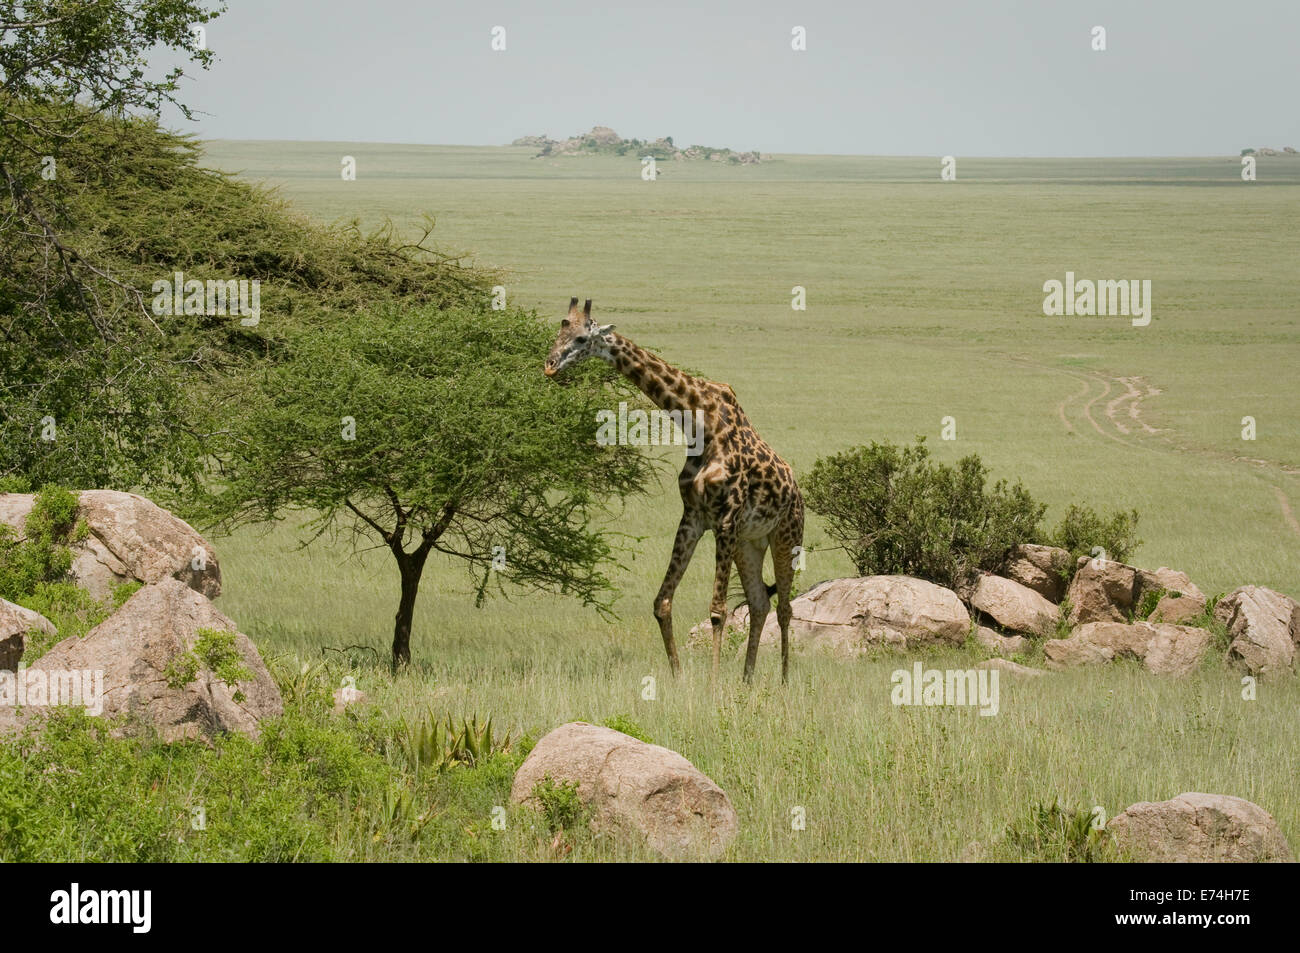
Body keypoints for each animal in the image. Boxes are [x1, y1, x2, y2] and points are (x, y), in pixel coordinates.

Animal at [544, 297, 804, 683]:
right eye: (559, 331)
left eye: (580, 338)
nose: (549, 366)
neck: (698, 422)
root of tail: (797, 491)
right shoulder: (694, 516)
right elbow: (662, 602)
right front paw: (680, 679)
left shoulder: (725, 519)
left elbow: (717, 611)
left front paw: (713, 686)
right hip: (750, 542)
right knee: (760, 603)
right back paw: (746, 681)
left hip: (786, 534)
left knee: (785, 607)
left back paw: (784, 683)